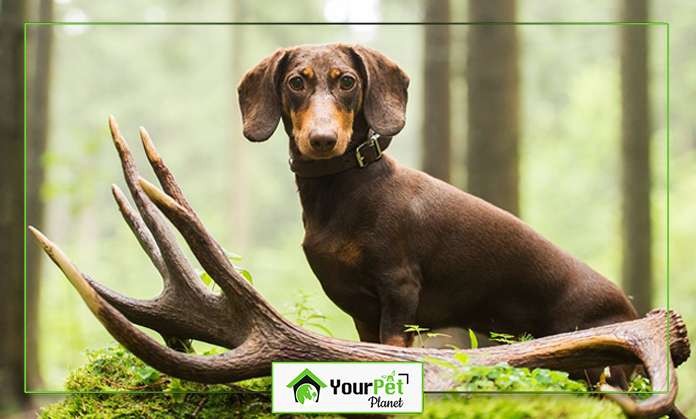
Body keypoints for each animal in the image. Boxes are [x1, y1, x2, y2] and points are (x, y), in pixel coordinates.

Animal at [238, 43, 636, 380]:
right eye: (296, 82)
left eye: (347, 81)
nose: (323, 140)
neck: (346, 187)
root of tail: (631, 312)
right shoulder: (364, 314)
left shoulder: (399, 290)